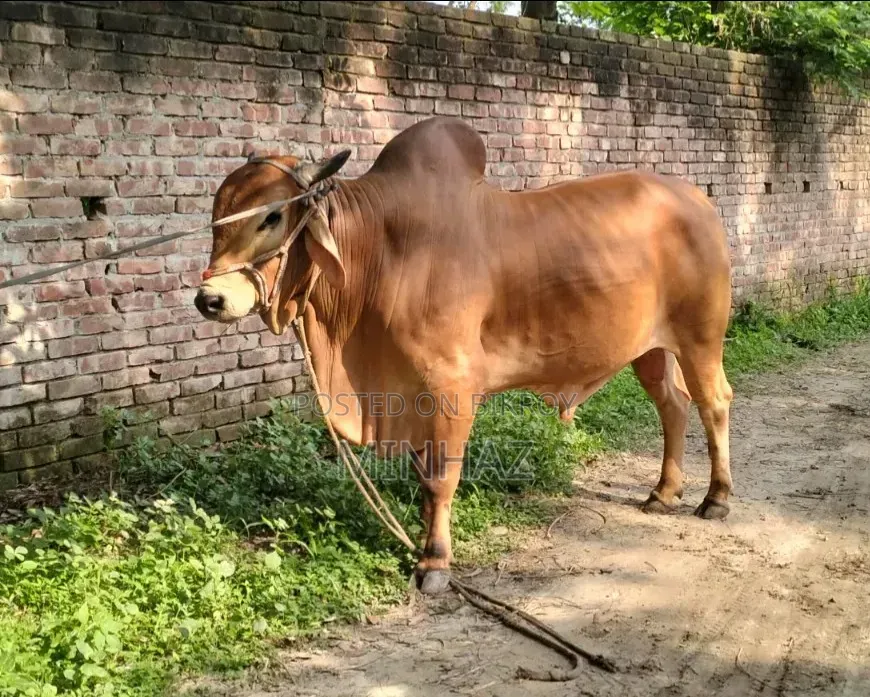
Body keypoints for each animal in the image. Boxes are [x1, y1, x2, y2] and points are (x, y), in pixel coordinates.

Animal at [194, 116, 734, 594]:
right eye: (216, 218)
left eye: (272, 215)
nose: (209, 299)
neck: (381, 251)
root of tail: (698, 199)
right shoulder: (407, 393)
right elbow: (420, 476)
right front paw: (418, 540)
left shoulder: (450, 387)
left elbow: (439, 478)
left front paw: (434, 562)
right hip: (652, 349)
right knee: (673, 405)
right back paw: (663, 492)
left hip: (701, 338)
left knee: (714, 403)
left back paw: (716, 497)